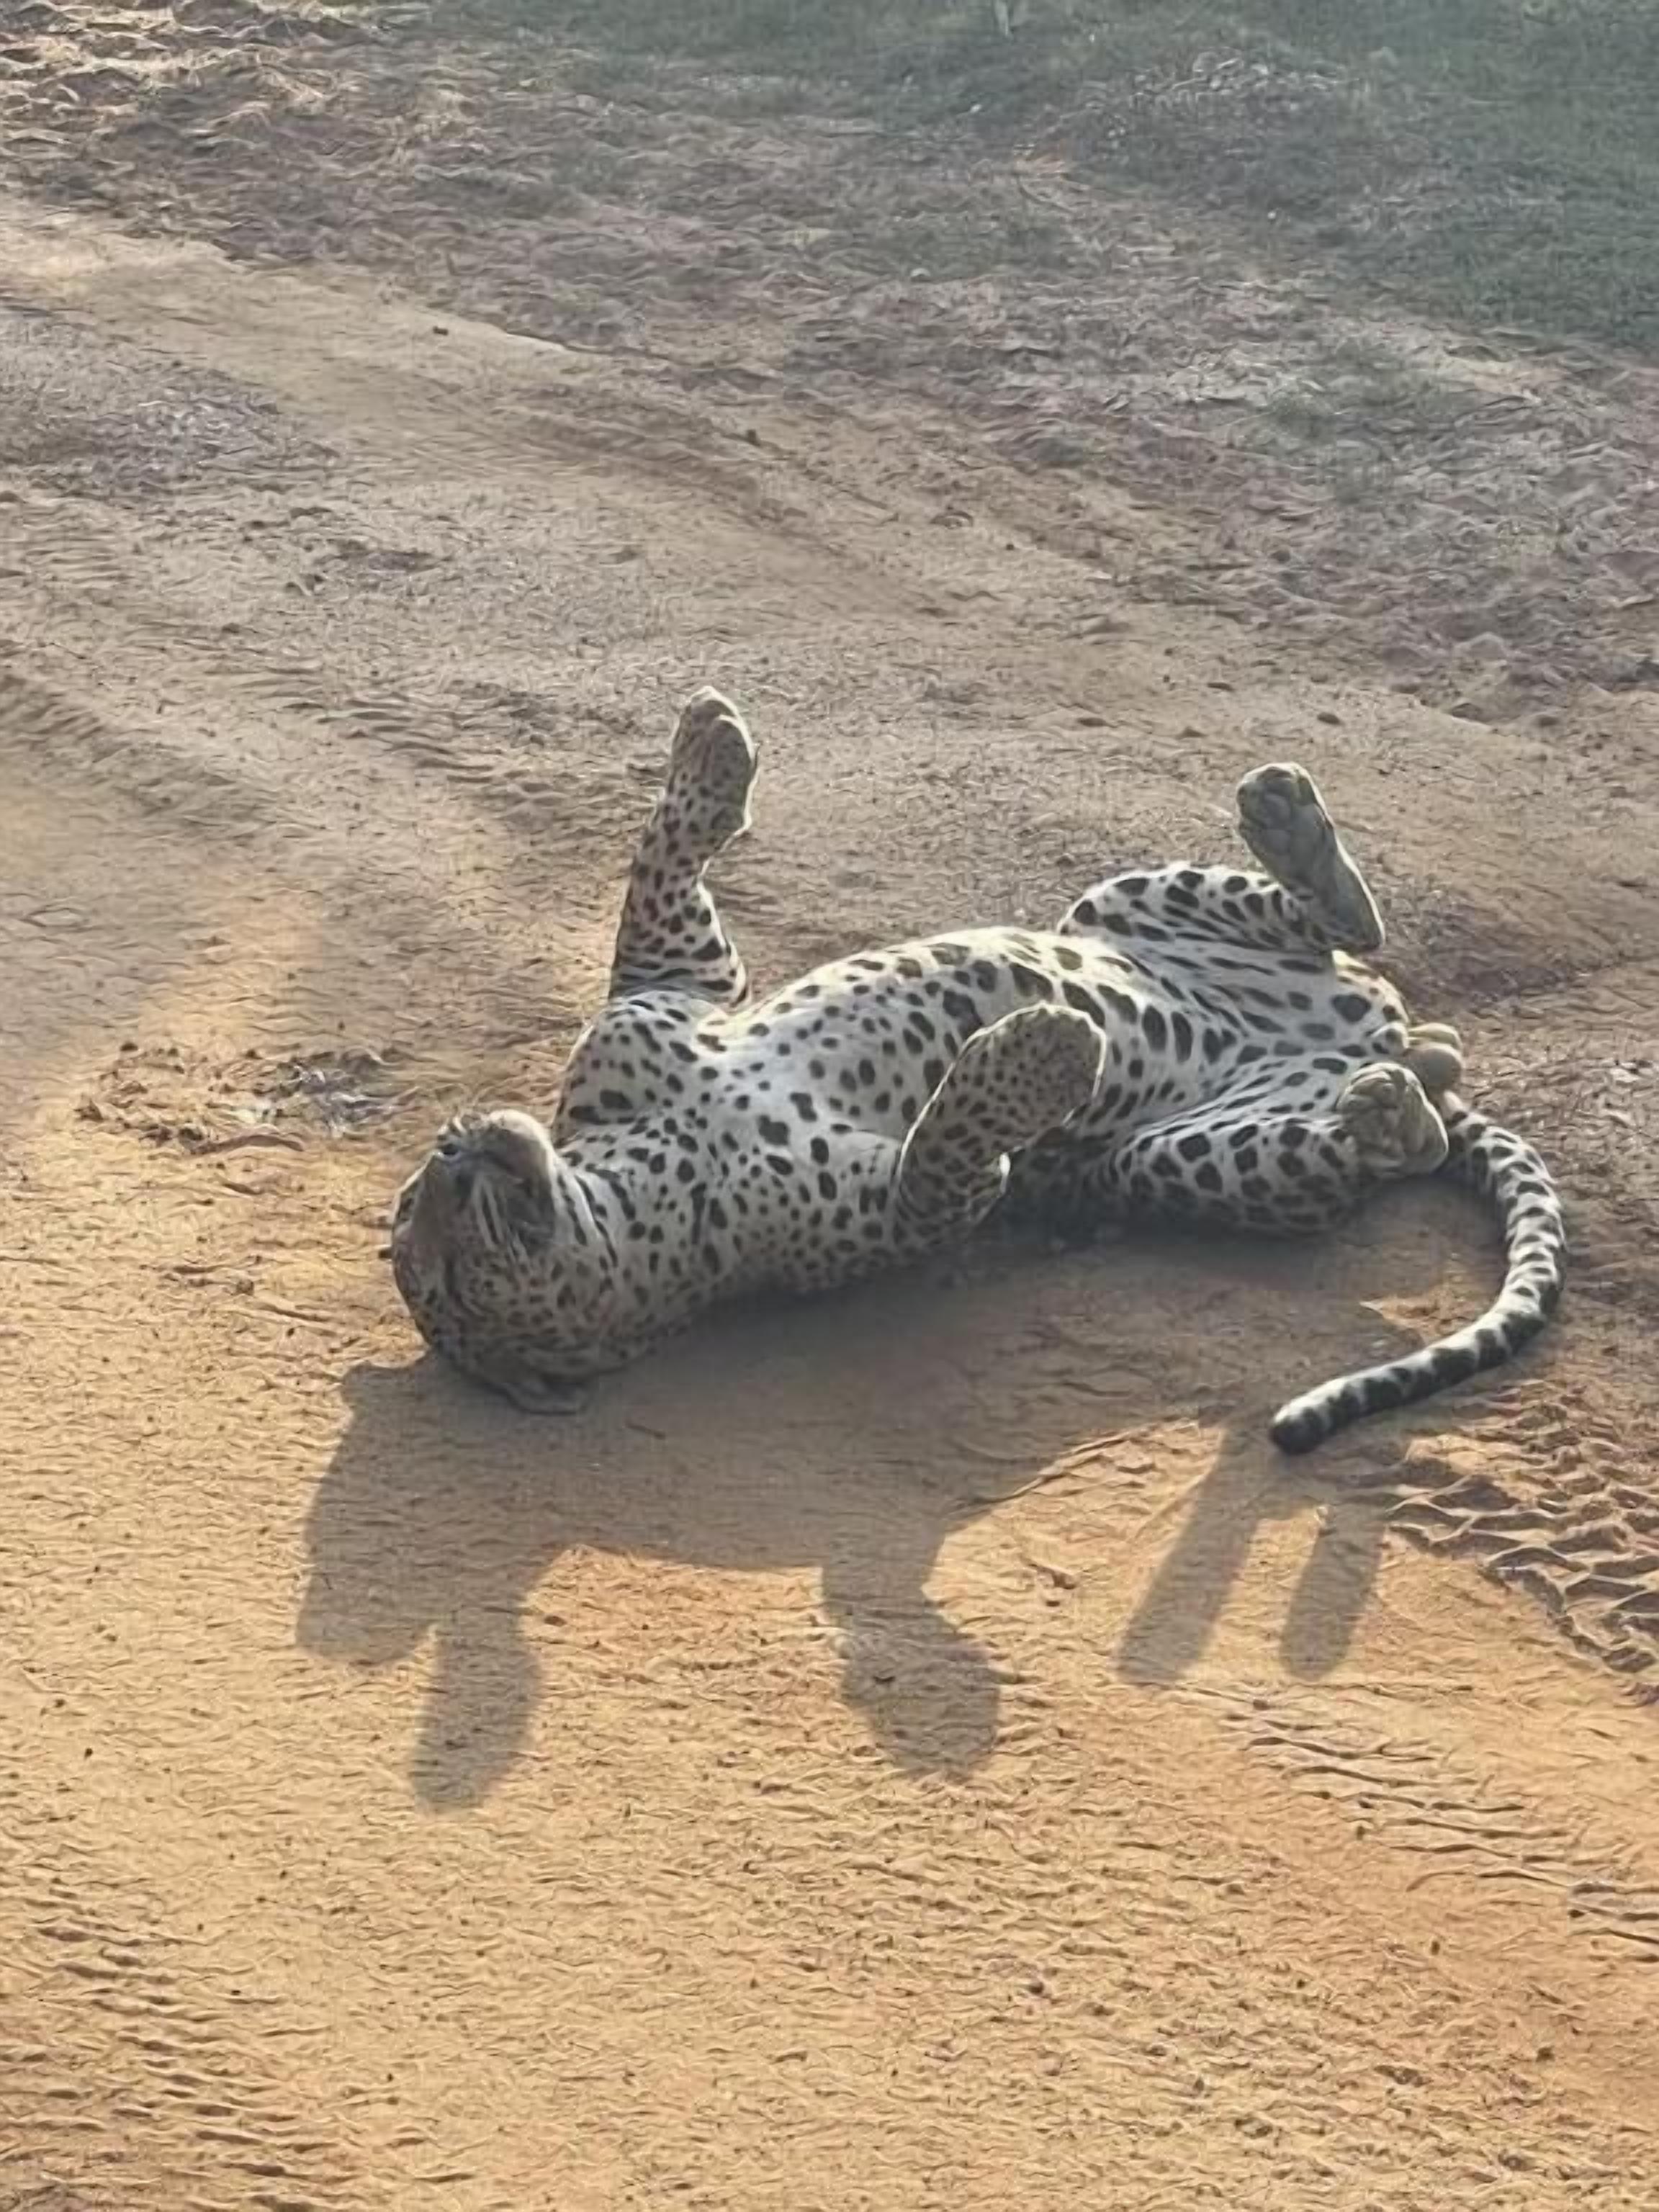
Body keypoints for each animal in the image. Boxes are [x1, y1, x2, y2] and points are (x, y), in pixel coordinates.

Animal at [389, 686, 1564, 1454]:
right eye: (436, 1263)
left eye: (419, 1194)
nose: (455, 1150)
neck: (638, 1167)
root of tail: (1371, 1039)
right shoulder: (916, 1211)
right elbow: (952, 1141)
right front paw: (1041, 1046)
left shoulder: (673, 990)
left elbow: (660, 870)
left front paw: (710, 749)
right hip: (1186, 1157)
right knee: (1383, 1134)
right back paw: (1387, 1102)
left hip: (1119, 902)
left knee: (1343, 926)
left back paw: (1291, 827)